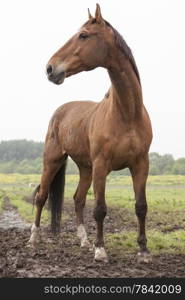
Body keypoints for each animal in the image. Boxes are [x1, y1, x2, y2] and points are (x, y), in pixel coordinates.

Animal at [28, 4, 152, 262]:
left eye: (83, 35)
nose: (50, 68)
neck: (127, 114)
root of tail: (61, 110)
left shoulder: (140, 164)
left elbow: (141, 206)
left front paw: (144, 251)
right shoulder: (102, 164)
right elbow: (100, 209)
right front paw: (101, 250)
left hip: (86, 168)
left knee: (78, 199)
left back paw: (84, 241)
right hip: (53, 161)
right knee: (41, 196)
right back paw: (34, 239)